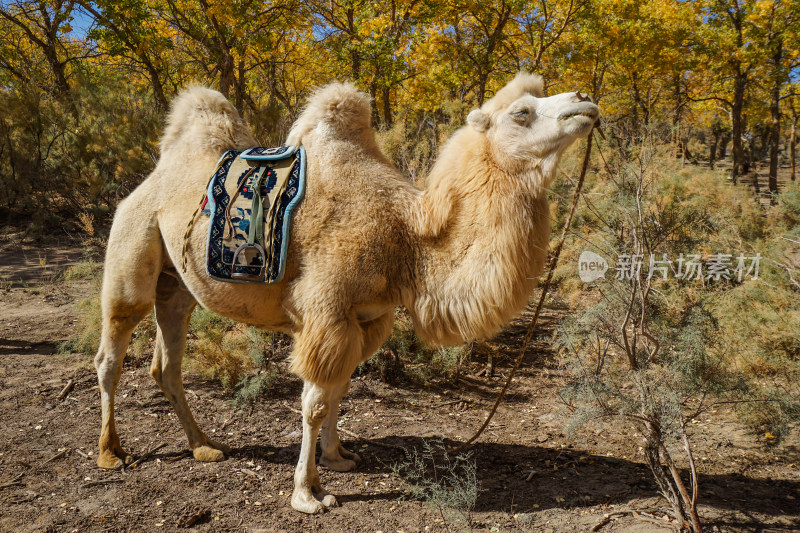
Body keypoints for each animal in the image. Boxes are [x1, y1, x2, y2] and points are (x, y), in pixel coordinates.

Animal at [95, 72, 600, 512]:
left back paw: (203, 446)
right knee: (112, 351)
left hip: (177, 285)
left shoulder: (365, 318)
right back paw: (110, 452)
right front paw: (308, 495)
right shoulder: (327, 311)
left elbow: (339, 391)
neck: (407, 239)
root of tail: (151, 177)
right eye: (521, 112)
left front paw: (337, 459)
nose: (584, 100)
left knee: (166, 363)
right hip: (132, 246)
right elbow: (315, 403)